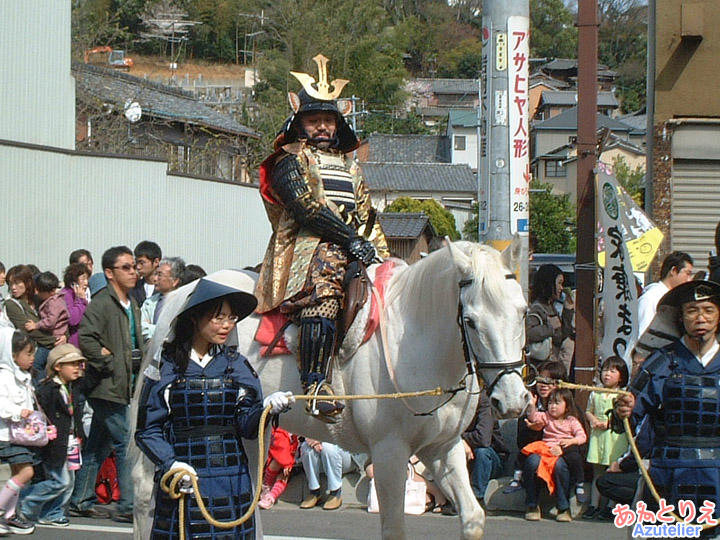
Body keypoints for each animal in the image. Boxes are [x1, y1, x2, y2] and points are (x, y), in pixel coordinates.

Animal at [131, 239, 528, 540]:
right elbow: (394, 528)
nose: (512, 400)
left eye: (523, 312)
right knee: (145, 487)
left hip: (245, 429)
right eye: (471, 321)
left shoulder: (442, 449)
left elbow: (473, 518)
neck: (415, 337)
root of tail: (178, 294)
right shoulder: (389, 452)